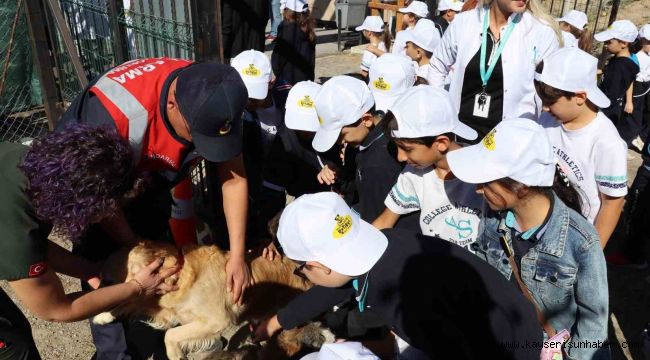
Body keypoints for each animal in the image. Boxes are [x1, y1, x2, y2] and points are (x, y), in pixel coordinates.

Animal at [96, 240, 334, 358]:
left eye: (127, 269)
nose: (102, 284)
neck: (183, 276)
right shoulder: (160, 306)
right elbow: (130, 302)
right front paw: (103, 315)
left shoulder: (216, 320)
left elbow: (170, 335)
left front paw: (175, 355)